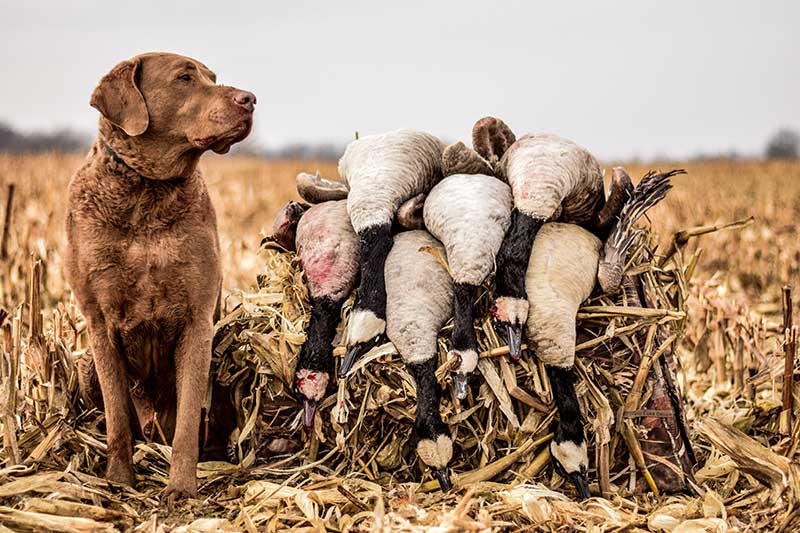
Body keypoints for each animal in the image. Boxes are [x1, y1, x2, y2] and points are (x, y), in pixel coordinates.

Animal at [68, 52, 256, 496]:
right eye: (184, 78)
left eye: (213, 78)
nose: (250, 99)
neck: (146, 193)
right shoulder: (98, 321)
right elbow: (118, 415)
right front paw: (119, 480)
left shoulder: (197, 319)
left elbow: (187, 420)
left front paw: (181, 488)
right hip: (84, 366)